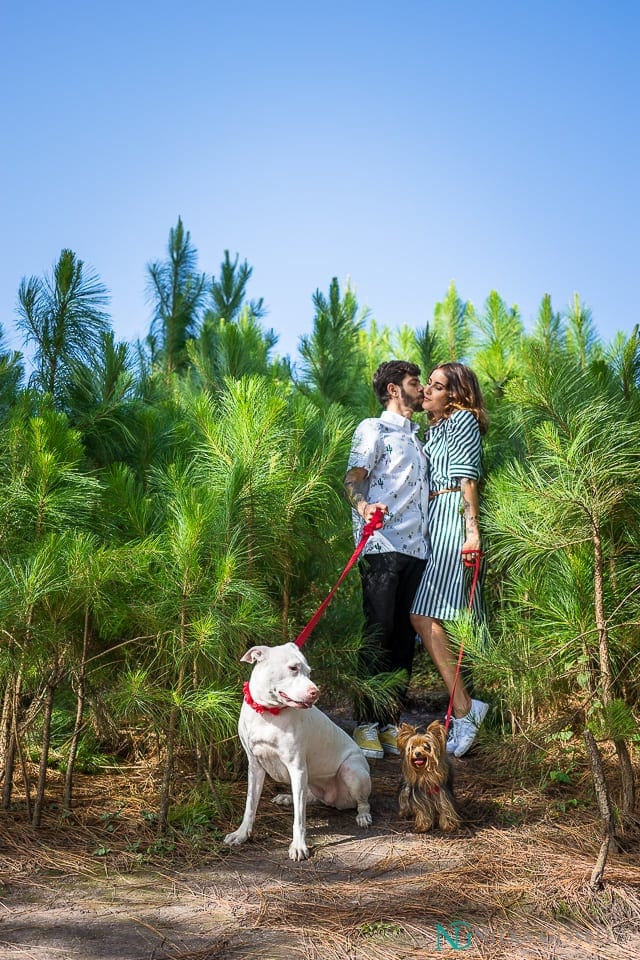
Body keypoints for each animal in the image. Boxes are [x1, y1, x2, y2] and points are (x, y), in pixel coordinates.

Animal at [226, 640, 372, 860]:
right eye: (293, 668)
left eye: (309, 672)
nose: (316, 692)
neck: (268, 714)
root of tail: (335, 800)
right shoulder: (255, 766)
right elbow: (250, 805)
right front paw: (241, 834)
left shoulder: (297, 768)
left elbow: (299, 819)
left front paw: (299, 846)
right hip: (311, 781)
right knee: (311, 797)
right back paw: (287, 798)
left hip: (351, 771)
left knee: (363, 802)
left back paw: (363, 816)